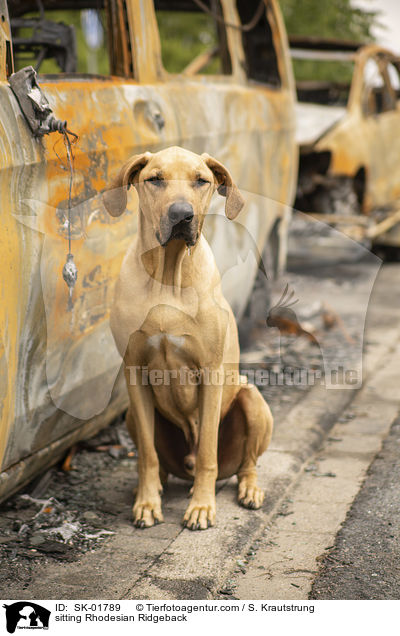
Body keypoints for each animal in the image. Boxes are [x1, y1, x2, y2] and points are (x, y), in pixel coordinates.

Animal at [102, 147, 276, 528]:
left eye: (201, 180)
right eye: (155, 179)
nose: (182, 215)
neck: (169, 273)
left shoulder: (209, 373)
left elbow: (209, 449)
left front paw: (201, 506)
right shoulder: (135, 372)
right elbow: (146, 454)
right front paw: (147, 502)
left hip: (252, 399)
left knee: (246, 465)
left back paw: (249, 490)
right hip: (132, 415)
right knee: (157, 460)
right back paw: (156, 487)